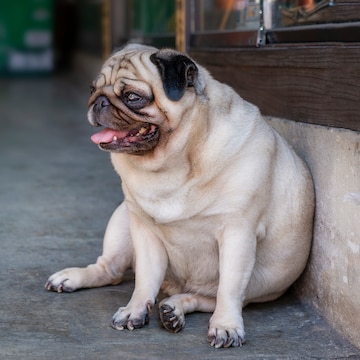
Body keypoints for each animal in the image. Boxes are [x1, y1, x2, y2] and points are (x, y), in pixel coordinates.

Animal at [45, 43, 316, 348]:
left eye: (133, 97)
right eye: (93, 89)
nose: (98, 101)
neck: (174, 163)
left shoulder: (238, 234)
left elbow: (229, 288)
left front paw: (226, 325)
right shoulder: (144, 230)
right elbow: (144, 280)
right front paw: (134, 310)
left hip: (250, 289)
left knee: (208, 297)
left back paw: (175, 309)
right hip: (123, 217)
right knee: (110, 270)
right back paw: (75, 278)